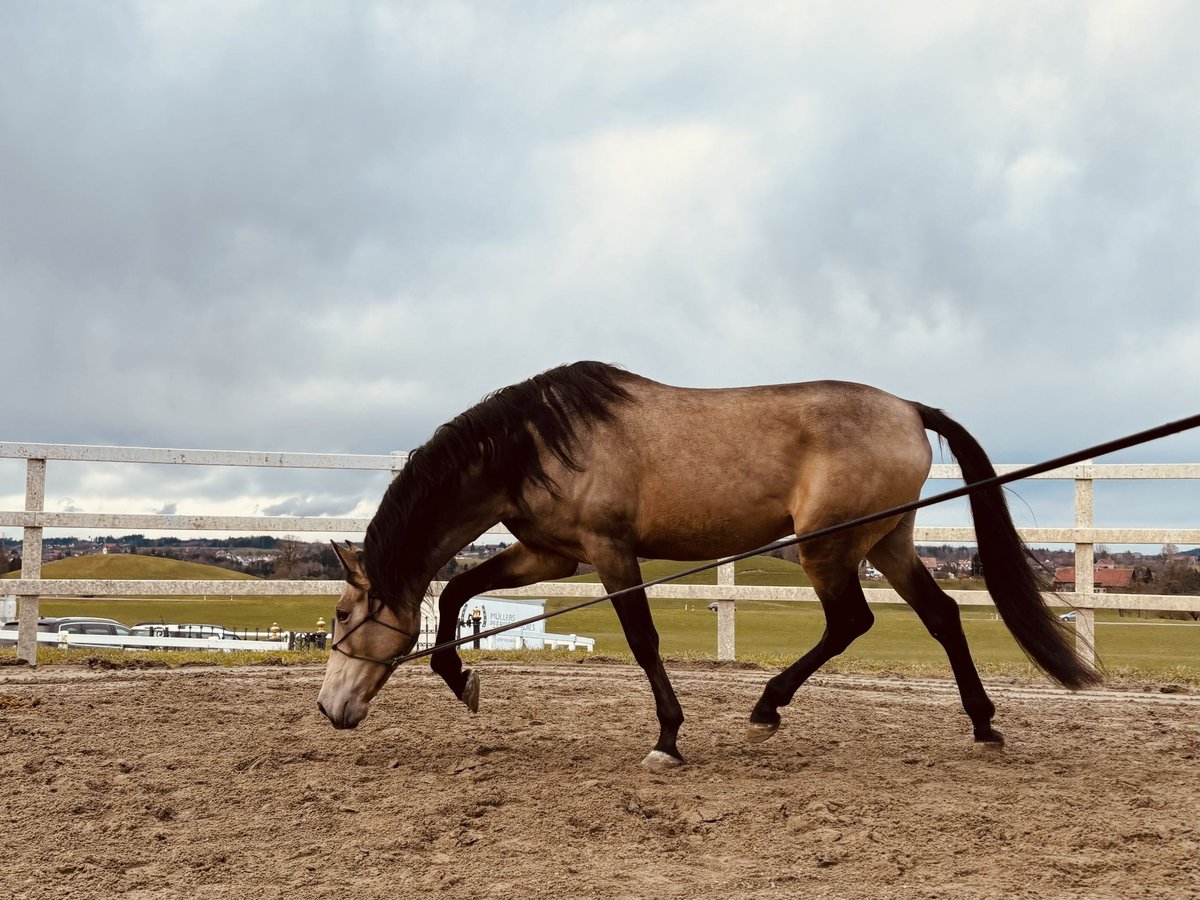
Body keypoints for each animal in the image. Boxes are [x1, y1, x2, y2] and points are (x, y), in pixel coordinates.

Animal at [316, 362, 1099, 772]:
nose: (328, 710)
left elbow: (643, 640)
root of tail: (907, 408)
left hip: (828, 548)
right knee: (939, 616)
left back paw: (765, 710)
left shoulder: (609, 552)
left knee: (850, 621)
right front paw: (462, 678)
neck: (535, 443)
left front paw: (667, 739)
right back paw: (983, 726)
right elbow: (457, 591)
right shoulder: (553, 554)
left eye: (343, 614)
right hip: (887, 544)